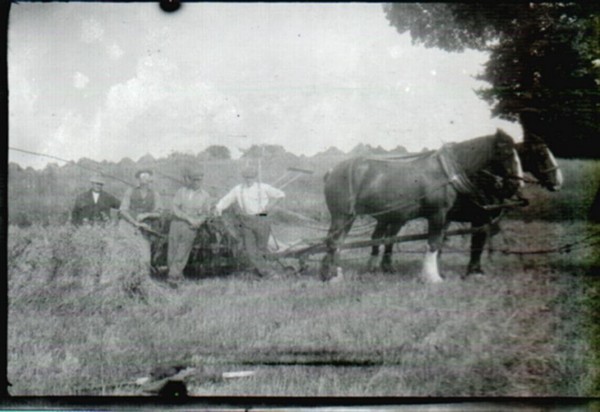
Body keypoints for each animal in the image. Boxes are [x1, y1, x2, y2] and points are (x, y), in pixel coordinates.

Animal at [320, 129, 524, 283]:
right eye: (507, 153)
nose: (518, 185)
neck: (446, 173)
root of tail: (332, 171)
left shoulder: (446, 217)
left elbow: (439, 241)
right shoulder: (438, 214)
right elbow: (433, 243)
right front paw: (433, 277)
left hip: (351, 217)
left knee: (340, 242)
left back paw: (336, 273)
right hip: (342, 215)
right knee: (334, 241)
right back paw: (333, 277)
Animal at [368, 132, 563, 276]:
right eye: (542, 154)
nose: (559, 181)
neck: (483, 182)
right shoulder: (479, 218)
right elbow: (476, 244)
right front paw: (473, 270)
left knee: (386, 237)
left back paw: (384, 266)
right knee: (385, 237)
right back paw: (383, 266)